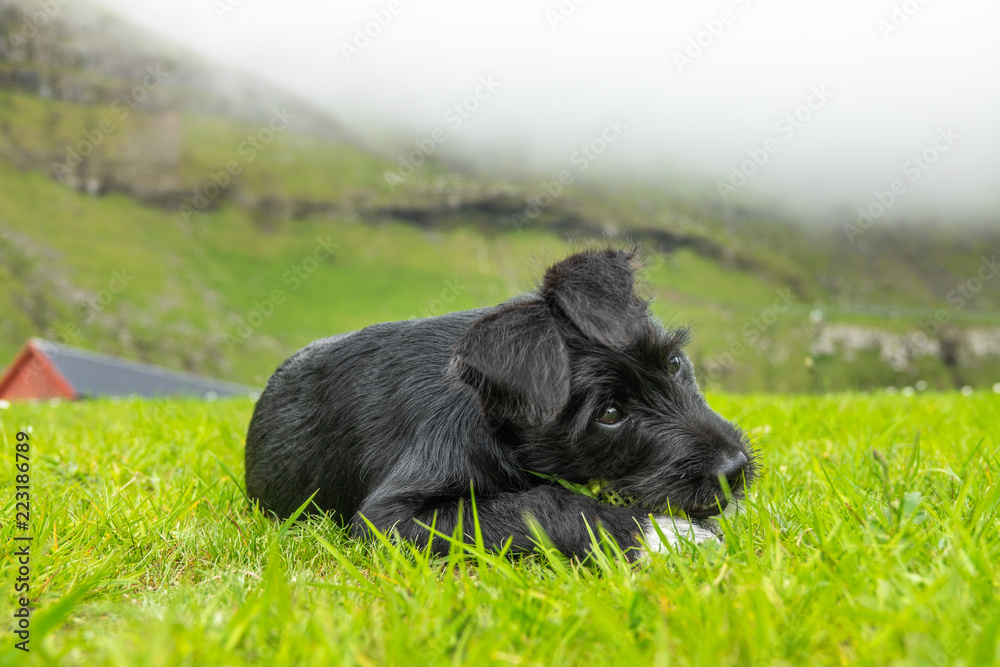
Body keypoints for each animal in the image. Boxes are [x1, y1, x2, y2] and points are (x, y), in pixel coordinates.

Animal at [246, 249, 752, 560]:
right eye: (609, 415)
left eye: (674, 363)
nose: (735, 470)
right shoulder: (391, 521)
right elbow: (541, 504)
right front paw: (664, 536)